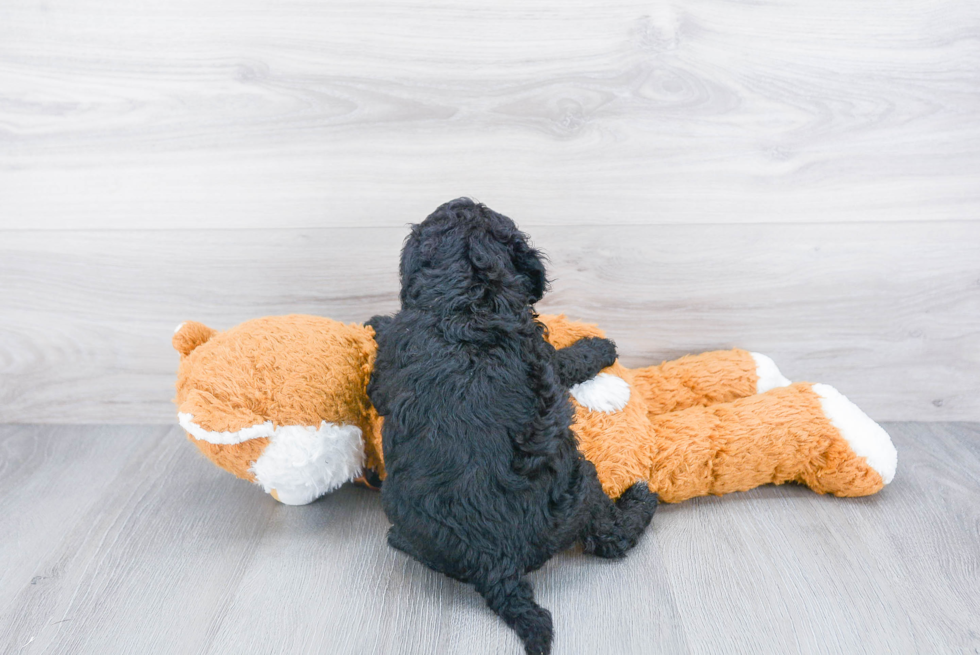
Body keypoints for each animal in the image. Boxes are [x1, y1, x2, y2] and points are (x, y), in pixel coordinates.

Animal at [368, 200, 660, 655]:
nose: (464, 199)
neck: (468, 296)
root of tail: (497, 566)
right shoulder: (545, 358)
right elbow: (568, 360)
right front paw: (599, 346)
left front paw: (378, 321)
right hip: (582, 482)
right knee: (609, 539)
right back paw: (641, 499)